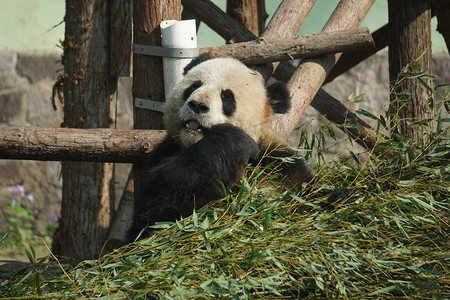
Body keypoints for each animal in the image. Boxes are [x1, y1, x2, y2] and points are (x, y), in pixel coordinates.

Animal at [127, 53, 330, 241]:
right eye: (194, 86)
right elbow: (151, 211)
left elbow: (308, 191)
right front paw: (232, 139)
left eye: (227, 97)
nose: (198, 105)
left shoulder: (277, 163)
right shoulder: (167, 151)